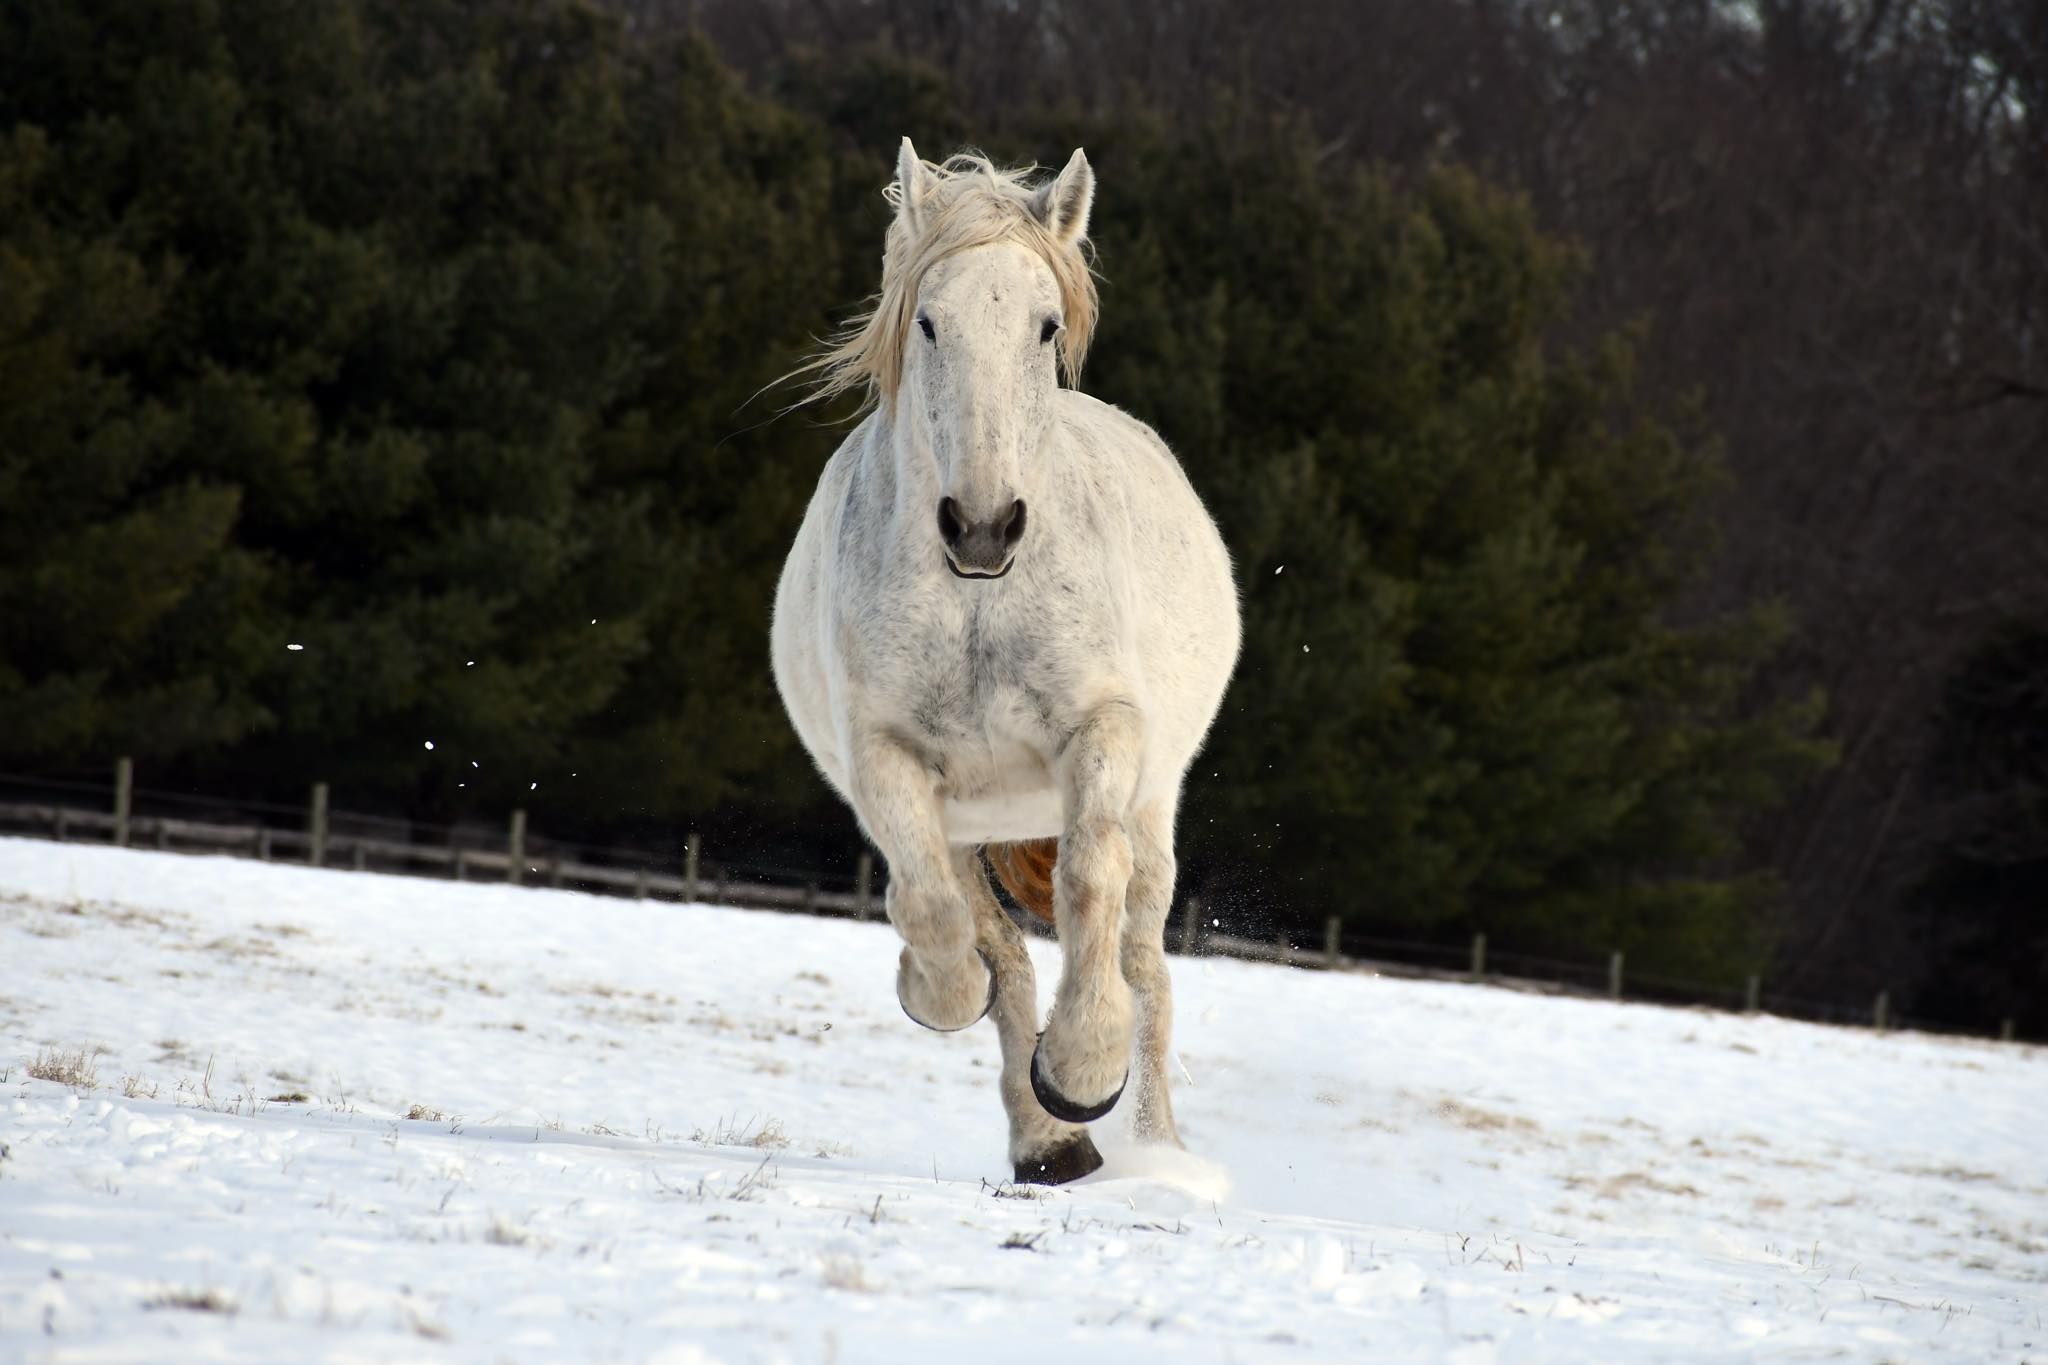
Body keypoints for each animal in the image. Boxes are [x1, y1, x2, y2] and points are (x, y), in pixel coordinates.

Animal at [770, 139, 1241, 1185]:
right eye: (930, 321)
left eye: (1045, 324)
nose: (983, 527)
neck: (980, 599)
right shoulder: (889, 762)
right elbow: (939, 917)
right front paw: (943, 998)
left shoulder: (1102, 734)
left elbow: (1090, 884)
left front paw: (1083, 1068)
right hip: (973, 819)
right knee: (999, 949)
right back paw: (1049, 1146)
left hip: (1155, 801)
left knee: (1143, 958)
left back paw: (1160, 1150)